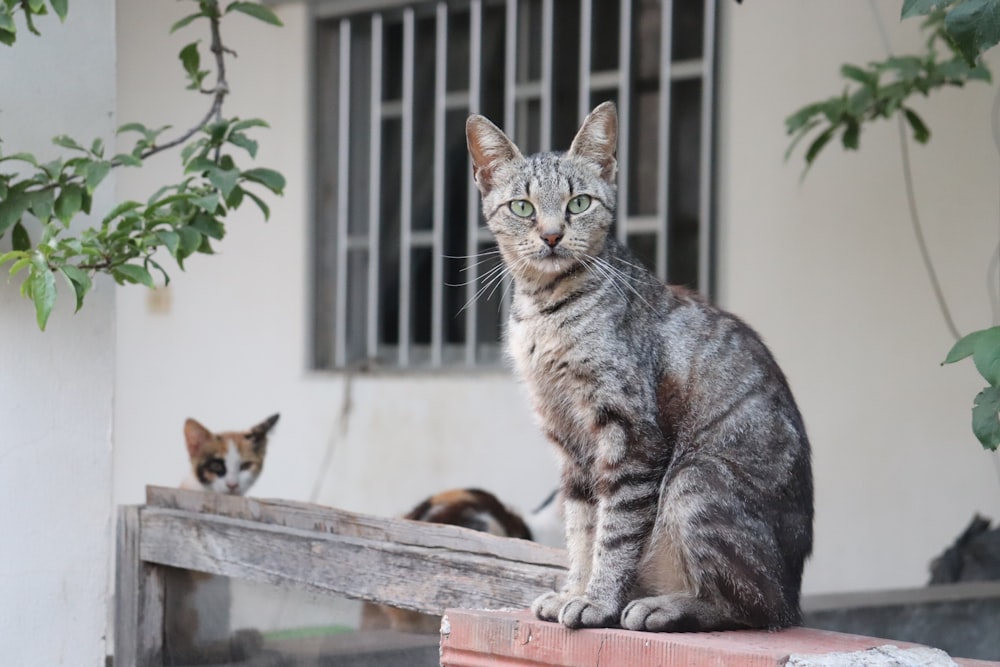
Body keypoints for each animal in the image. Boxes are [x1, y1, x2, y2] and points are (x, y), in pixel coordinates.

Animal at [468, 102, 812, 636]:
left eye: (578, 203)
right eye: (522, 207)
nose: (551, 235)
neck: (545, 309)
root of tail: (797, 590)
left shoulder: (628, 436)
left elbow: (615, 532)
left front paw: (597, 600)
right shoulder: (571, 444)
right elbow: (581, 528)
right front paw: (575, 590)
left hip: (695, 479)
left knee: (755, 607)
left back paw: (664, 607)